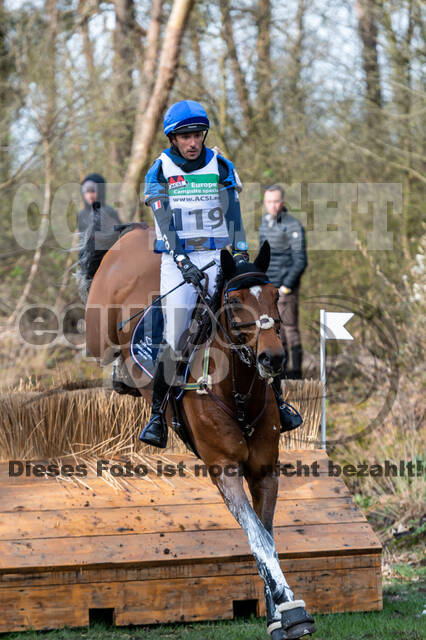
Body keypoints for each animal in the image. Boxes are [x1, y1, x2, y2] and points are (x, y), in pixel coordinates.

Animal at [84, 224, 316, 636]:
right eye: (234, 300)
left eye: (274, 295)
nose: (273, 358)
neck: (237, 389)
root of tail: (137, 231)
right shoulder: (224, 470)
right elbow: (258, 537)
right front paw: (291, 612)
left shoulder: (264, 470)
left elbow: (266, 536)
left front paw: (278, 613)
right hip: (97, 327)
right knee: (99, 344)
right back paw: (118, 375)